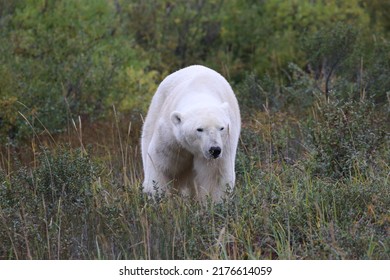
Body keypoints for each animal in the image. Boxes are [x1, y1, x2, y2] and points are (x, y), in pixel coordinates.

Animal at [142, 65, 241, 201]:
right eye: (199, 129)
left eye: (221, 128)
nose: (214, 149)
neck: (199, 90)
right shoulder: (171, 137)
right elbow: (162, 165)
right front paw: (160, 197)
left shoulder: (224, 145)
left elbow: (214, 175)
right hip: (155, 109)